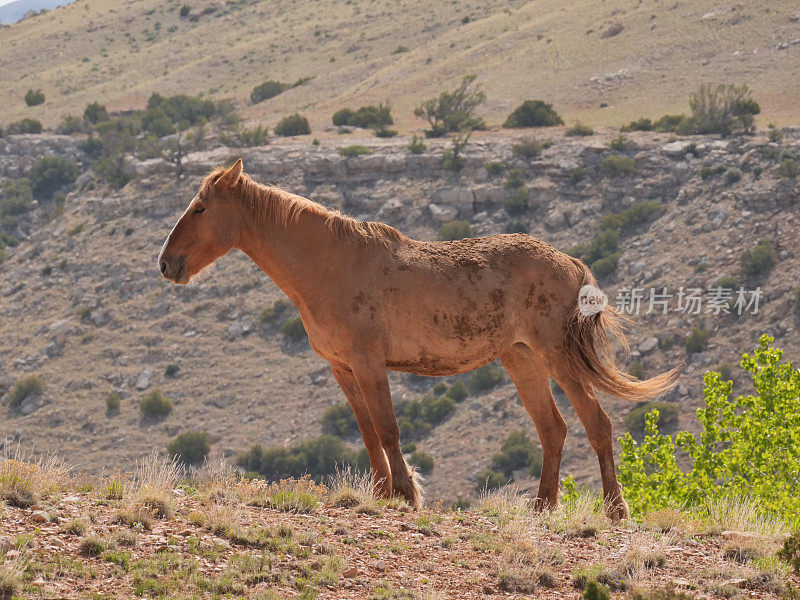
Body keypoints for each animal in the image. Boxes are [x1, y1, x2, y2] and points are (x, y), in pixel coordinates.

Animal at [159, 161, 680, 520]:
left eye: (201, 208)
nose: (166, 264)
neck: (331, 264)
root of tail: (571, 264)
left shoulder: (369, 364)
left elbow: (388, 429)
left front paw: (407, 495)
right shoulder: (343, 369)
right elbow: (368, 431)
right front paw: (380, 493)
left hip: (559, 358)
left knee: (598, 425)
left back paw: (616, 511)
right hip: (522, 359)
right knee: (553, 429)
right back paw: (542, 508)